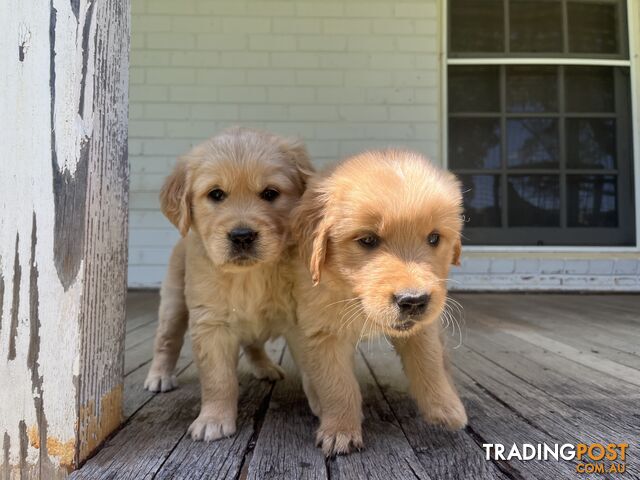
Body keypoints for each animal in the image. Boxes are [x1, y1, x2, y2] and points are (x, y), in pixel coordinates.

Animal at [146, 128, 316, 442]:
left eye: (270, 193)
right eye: (216, 194)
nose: (242, 236)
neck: (249, 276)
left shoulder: (300, 319)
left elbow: (316, 370)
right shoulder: (210, 323)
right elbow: (218, 379)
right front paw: (213, 419)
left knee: (253, 344)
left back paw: (266, 367)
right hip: (174, 302)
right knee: (166, 340)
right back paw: (159, 375)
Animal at [288, 151, 464, 458]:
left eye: (434, 238)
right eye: (368, 240)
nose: (413, 301)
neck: (354, 298)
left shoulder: (422, 328)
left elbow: (429, 362)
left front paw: (446, 407)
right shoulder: (322, 333)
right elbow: (337, 385)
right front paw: (340, 430)